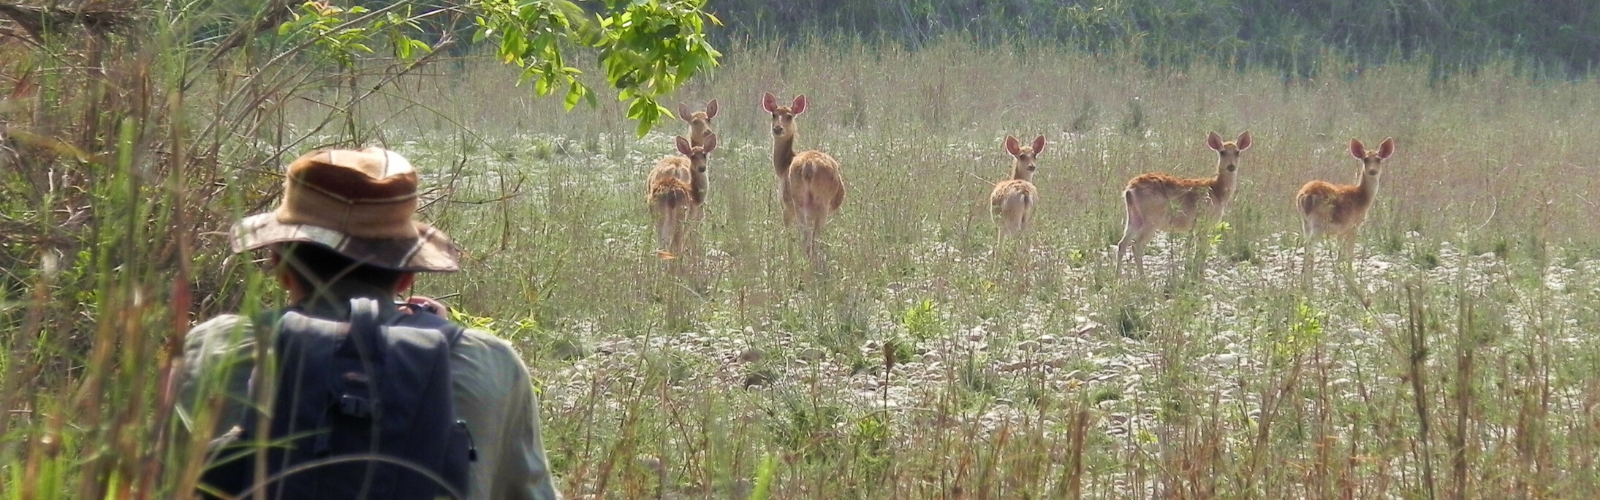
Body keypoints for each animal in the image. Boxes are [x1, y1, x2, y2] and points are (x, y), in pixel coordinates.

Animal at [764, 91, 851, 261]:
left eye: (789, 116)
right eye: (773, 114)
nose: (777, 128)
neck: (783, 166)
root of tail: (809, 165)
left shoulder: (785, 206)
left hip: (801, 200)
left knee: (806, 234)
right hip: (819, 203)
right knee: (813, 237)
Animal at [1113, 130, 1248, 277]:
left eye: (1237, 152)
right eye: (1222, 152)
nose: (1231, 166)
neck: (1217, 191)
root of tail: (1129, 190)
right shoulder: (1204, 222)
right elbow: (1202, 251)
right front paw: (1198, 277)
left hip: (1134, 217)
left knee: (1122, 243)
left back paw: (1117, 277)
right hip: (1152, 218)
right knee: (1137, 245)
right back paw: (1143, 279)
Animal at [1292, 137, 1395, 277]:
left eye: (1379, 159)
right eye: (1365, 159)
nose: (1372, 171)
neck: (1362, 197)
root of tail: (1305, 196)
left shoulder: (1341, 231)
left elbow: (1339, 255)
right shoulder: (1354, 226)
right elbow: (1349, 256)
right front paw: (1350, 277)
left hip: (1305, 223)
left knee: (1306, 246)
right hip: (1319, 223)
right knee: (1310, 247)